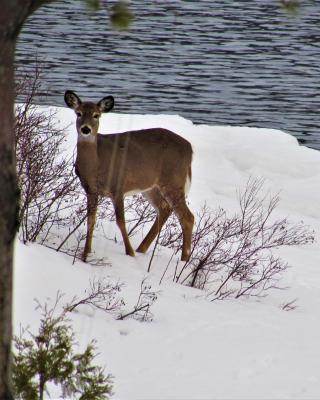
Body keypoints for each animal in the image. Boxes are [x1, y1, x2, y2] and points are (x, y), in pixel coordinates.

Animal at [62, 92, 192, 264]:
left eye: (97, 115)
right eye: (78, 113)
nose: (85, 129)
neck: (96, 165)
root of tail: (190, 149)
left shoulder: (118, 186)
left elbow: (120, 221)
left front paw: (129, 253)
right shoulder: (90, 190)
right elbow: (91, 220)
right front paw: (85, 254)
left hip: (173, 180)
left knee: (187, 217)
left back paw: (184, 260)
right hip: (151, 186)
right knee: (165, 208)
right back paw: (142, 249)